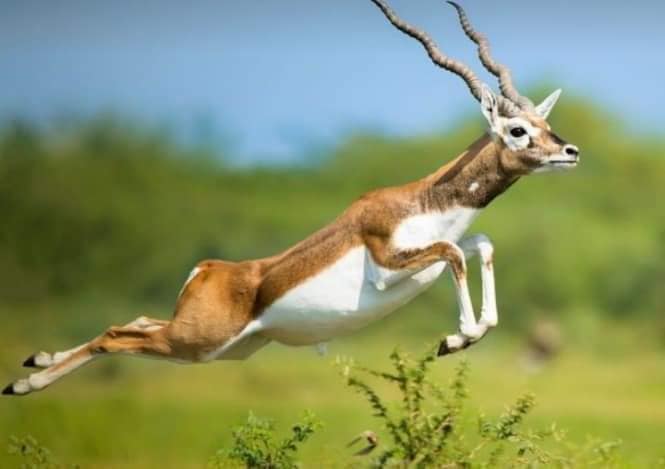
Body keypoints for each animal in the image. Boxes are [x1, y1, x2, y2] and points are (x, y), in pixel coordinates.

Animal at [3, 0, 579, 396]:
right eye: (517, 131)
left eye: (544, 123)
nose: (569, 151)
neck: (426, 202)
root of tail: (208, 269)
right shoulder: (389, 262)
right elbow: (456, 251)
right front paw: (455, 339)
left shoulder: (449, 244)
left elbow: (480, 246)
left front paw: (458, 338)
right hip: (196, 341)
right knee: (113, 335)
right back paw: (26, 383)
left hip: (212, 348)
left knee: (136, 324)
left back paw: (32, 366)